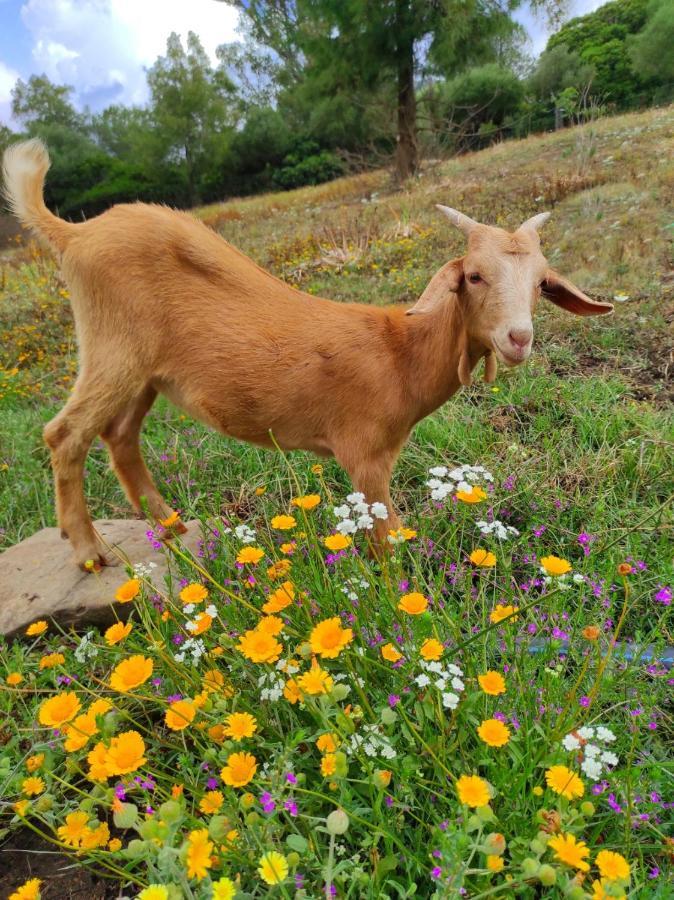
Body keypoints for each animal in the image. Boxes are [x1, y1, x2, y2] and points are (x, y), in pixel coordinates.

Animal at [2, 137, 612, 568]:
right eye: (476, 276)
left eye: (541, 283)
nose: (518, 338)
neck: (400, 352)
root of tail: (74, 235)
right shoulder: (365, 453)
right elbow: (385, 543)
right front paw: (401, 608)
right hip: (112, 346)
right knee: (65, 434)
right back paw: (88, 551)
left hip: (144, 371)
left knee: (119, 436)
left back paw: (170, 526)